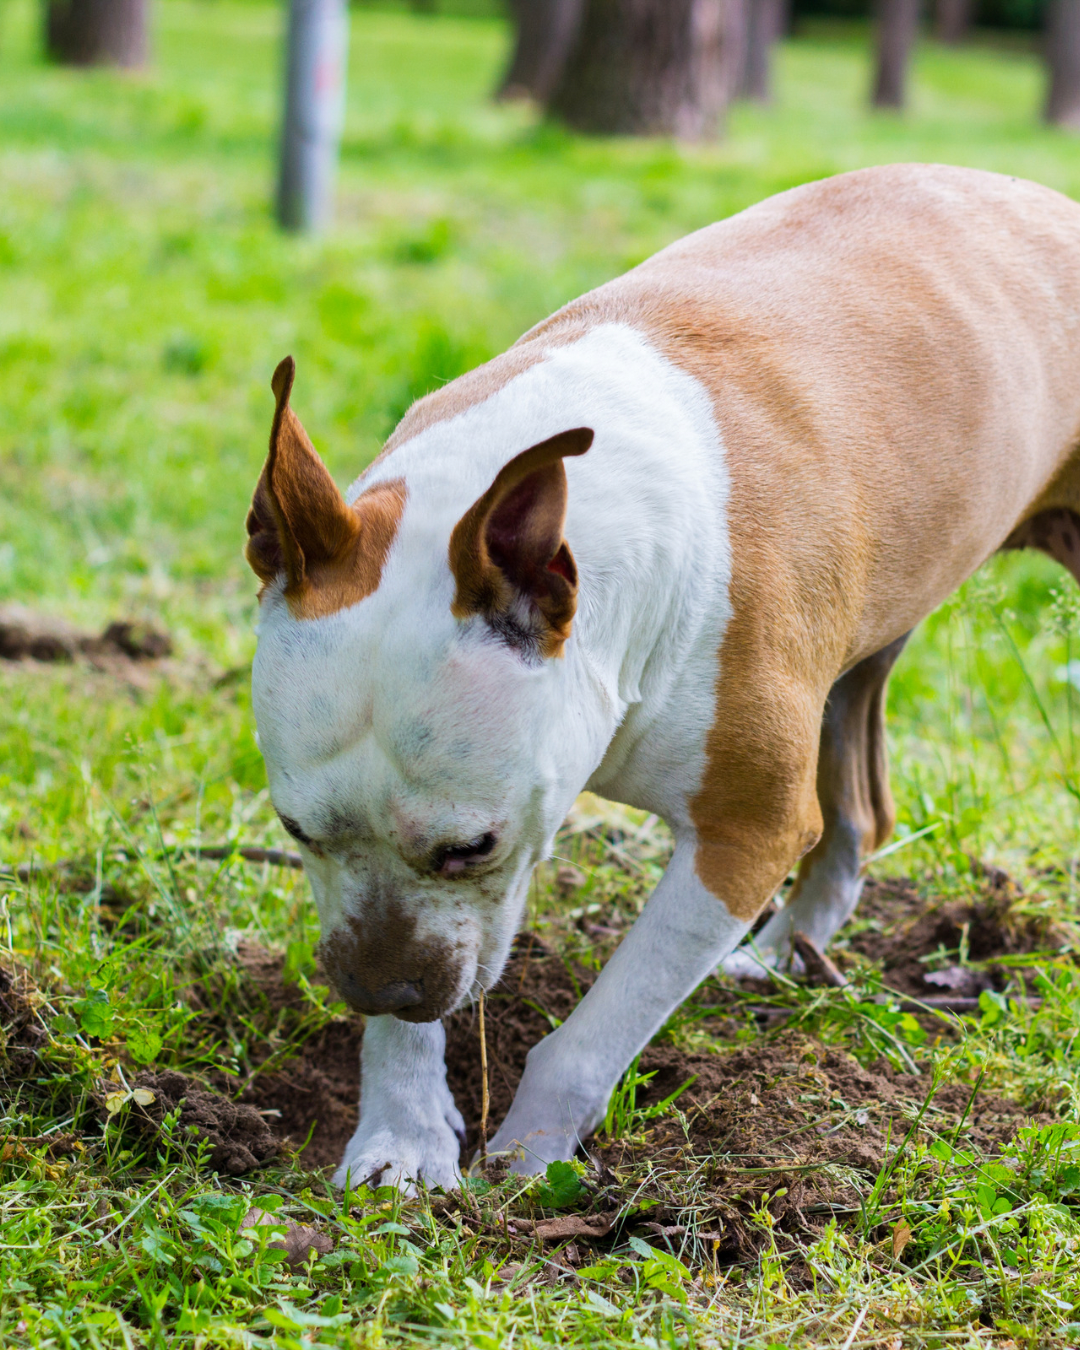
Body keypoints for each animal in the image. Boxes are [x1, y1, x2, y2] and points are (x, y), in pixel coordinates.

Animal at [247, 163, 1080, 1188]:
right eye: (296, 830)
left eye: (472, 847)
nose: (381, 990)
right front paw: (400, 1134)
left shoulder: (744, 837)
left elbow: (594, 1033)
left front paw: (530, 1156)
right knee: (860, 808)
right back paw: (787, 952)